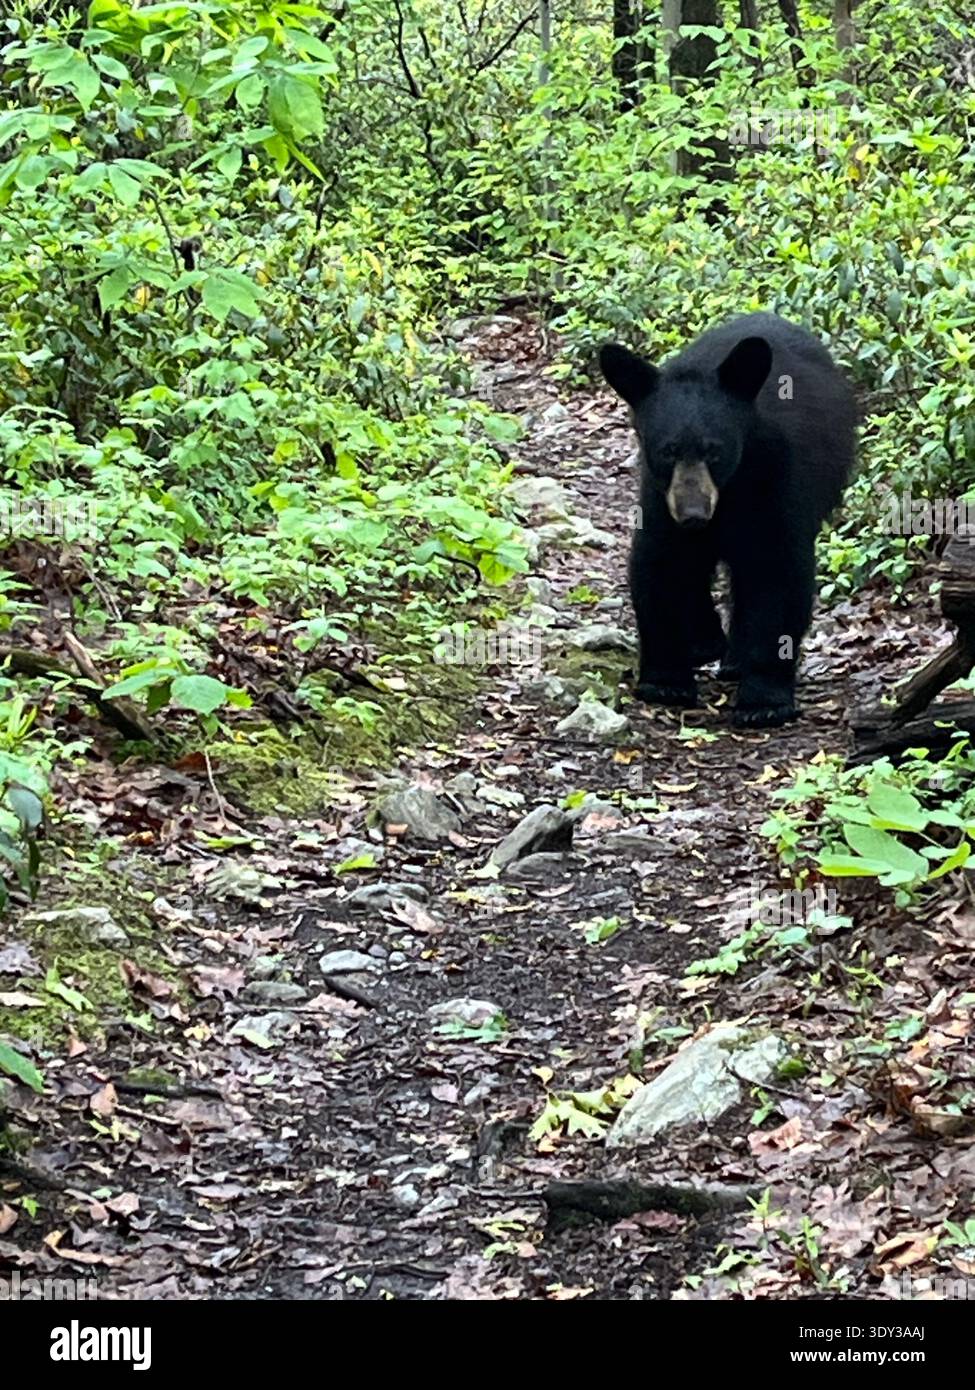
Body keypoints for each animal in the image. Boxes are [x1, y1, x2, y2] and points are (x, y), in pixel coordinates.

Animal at [600, 313, 856, 728]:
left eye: (714, 451)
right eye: (667, 451)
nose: (693, 514)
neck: (731, 491)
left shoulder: (777, 485)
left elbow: (777, 577)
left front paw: (763, 701)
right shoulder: (659, 500)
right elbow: (660, 564)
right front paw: (666, 681)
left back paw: (734, 657)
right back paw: (705, 642)